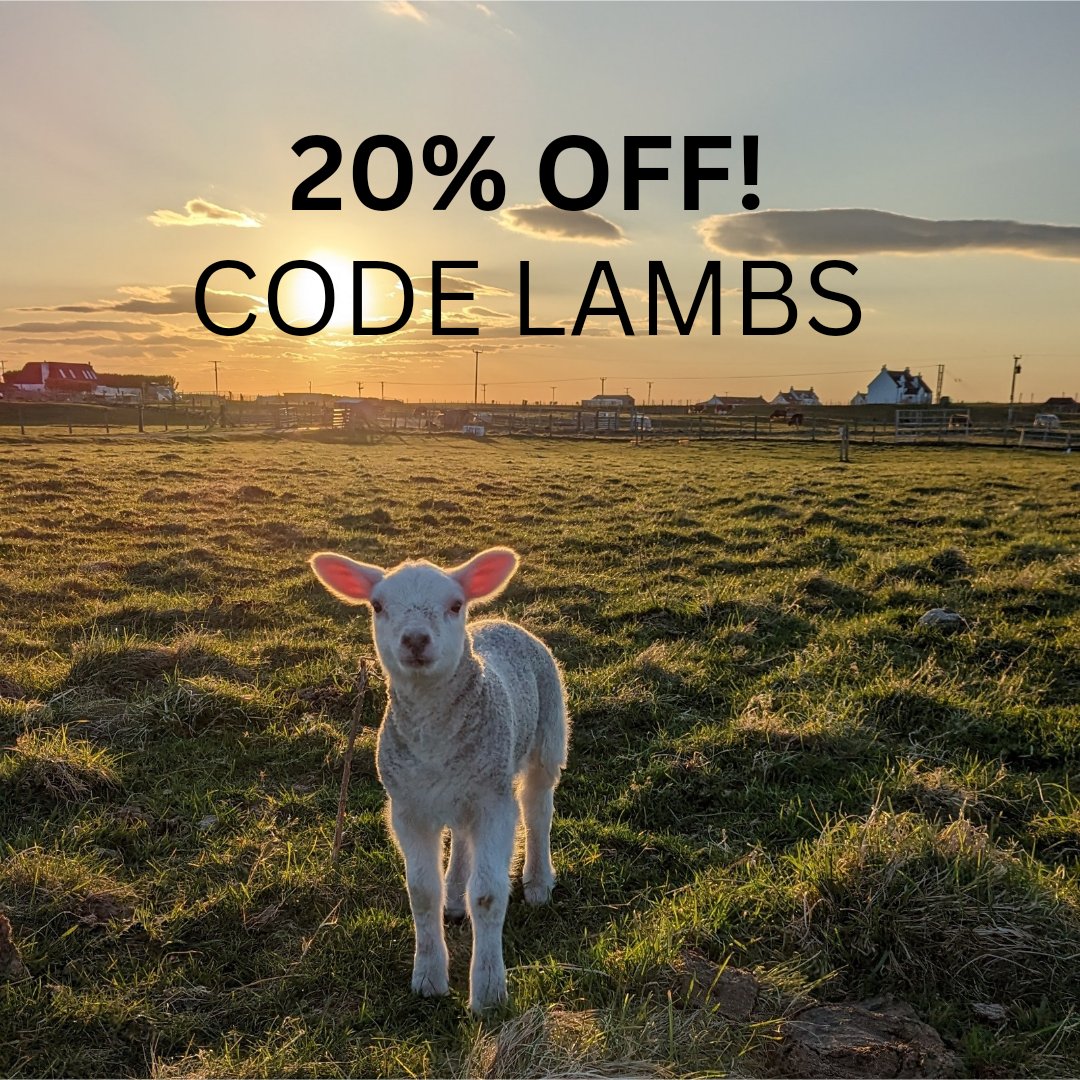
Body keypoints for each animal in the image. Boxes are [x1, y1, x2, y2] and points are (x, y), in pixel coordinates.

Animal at [309, 546, 569, 1012]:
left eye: (454, 604)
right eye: (378, 606)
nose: (415, 640)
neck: (434, 738)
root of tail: (500, 621)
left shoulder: (492, 802)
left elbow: (487, 894)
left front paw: (488, 992)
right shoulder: (408, 807)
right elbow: (422, 893)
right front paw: (429, 977)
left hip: (546, 736)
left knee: (538, 810)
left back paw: (538, 882)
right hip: (461, 787)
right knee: (462, 837)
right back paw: (454, 897)